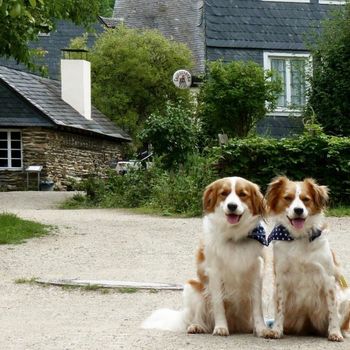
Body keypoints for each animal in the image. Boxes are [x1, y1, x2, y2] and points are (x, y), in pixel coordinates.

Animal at [143, 176, 274, 338]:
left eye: (242, 194)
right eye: (224, 193)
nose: (232, 206)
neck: (234, 237)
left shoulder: (257, 272)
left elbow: (257, 307)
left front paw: (262, 329)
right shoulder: (214, 273)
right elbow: (218, 303)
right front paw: (221, 327)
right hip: (192, 288)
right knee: (198, 316)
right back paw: (196, 326)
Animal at [266, 176, 350, 340]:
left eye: (306, 199)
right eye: (288, 198)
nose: (298, 210)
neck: (299, 237)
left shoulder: (328, 278)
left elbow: (332, 309)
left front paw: (334, 332)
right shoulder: (281, 278)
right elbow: (279, 308)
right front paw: (276, 330)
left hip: (346, 299)